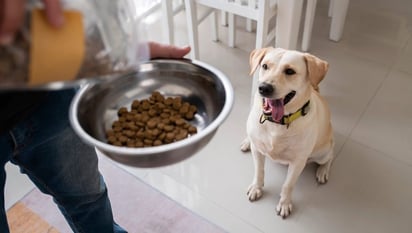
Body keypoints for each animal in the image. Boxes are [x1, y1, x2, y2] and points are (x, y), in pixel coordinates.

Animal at [241, 46, 334, 218]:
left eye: (290, 71)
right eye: (265, 66)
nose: (264, 88)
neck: (277, 123)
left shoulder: (298, 162)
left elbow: (288, 185)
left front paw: (284, 203)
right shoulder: (258, 151)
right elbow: (259, 171)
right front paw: (257, 187)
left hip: (322, 152)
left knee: (329, 157)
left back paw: (323, 171)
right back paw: (246, 141)